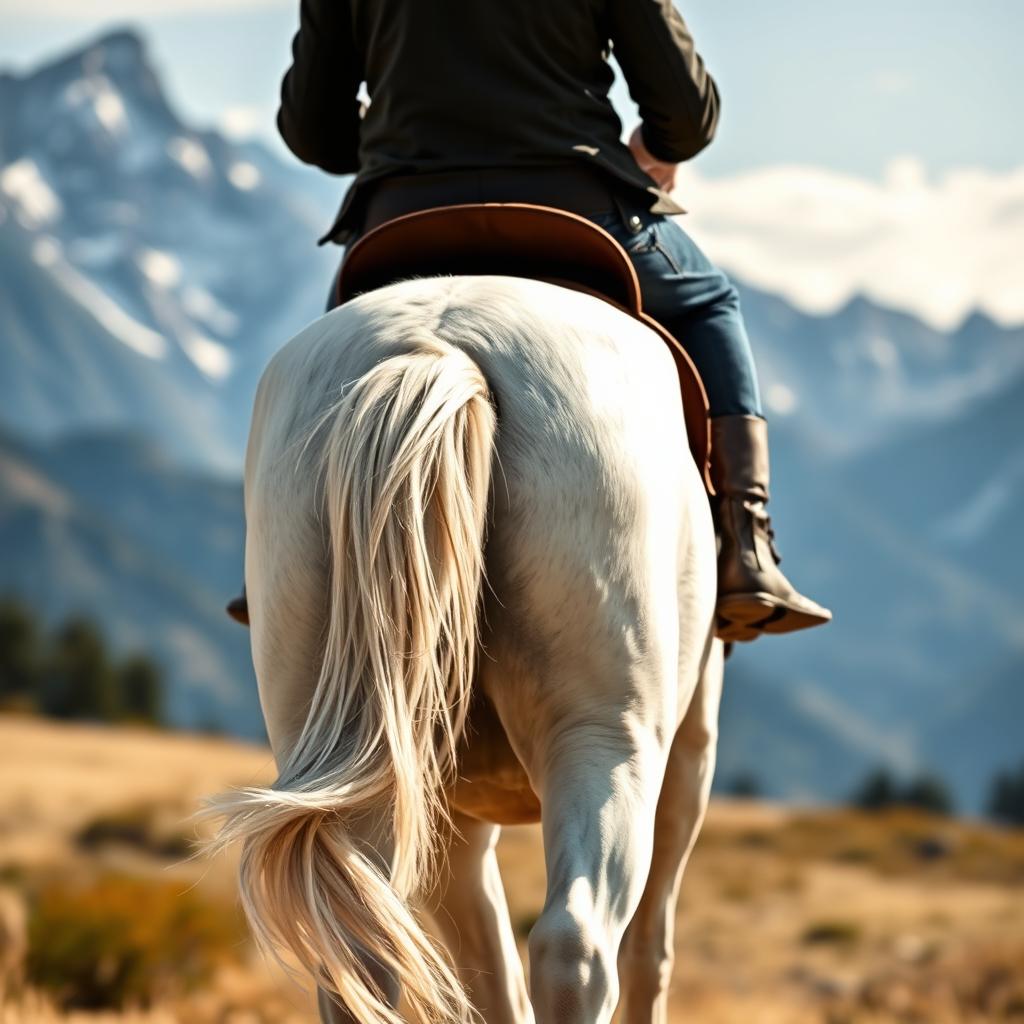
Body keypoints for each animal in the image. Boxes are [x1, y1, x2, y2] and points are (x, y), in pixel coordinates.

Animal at [203, 272, 724, 1024]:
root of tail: (445, 349)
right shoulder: (688, 753)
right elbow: (647, 945)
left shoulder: (449, 812)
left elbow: (488, 973)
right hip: (606, 739)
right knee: (578, 944)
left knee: (359, 954)